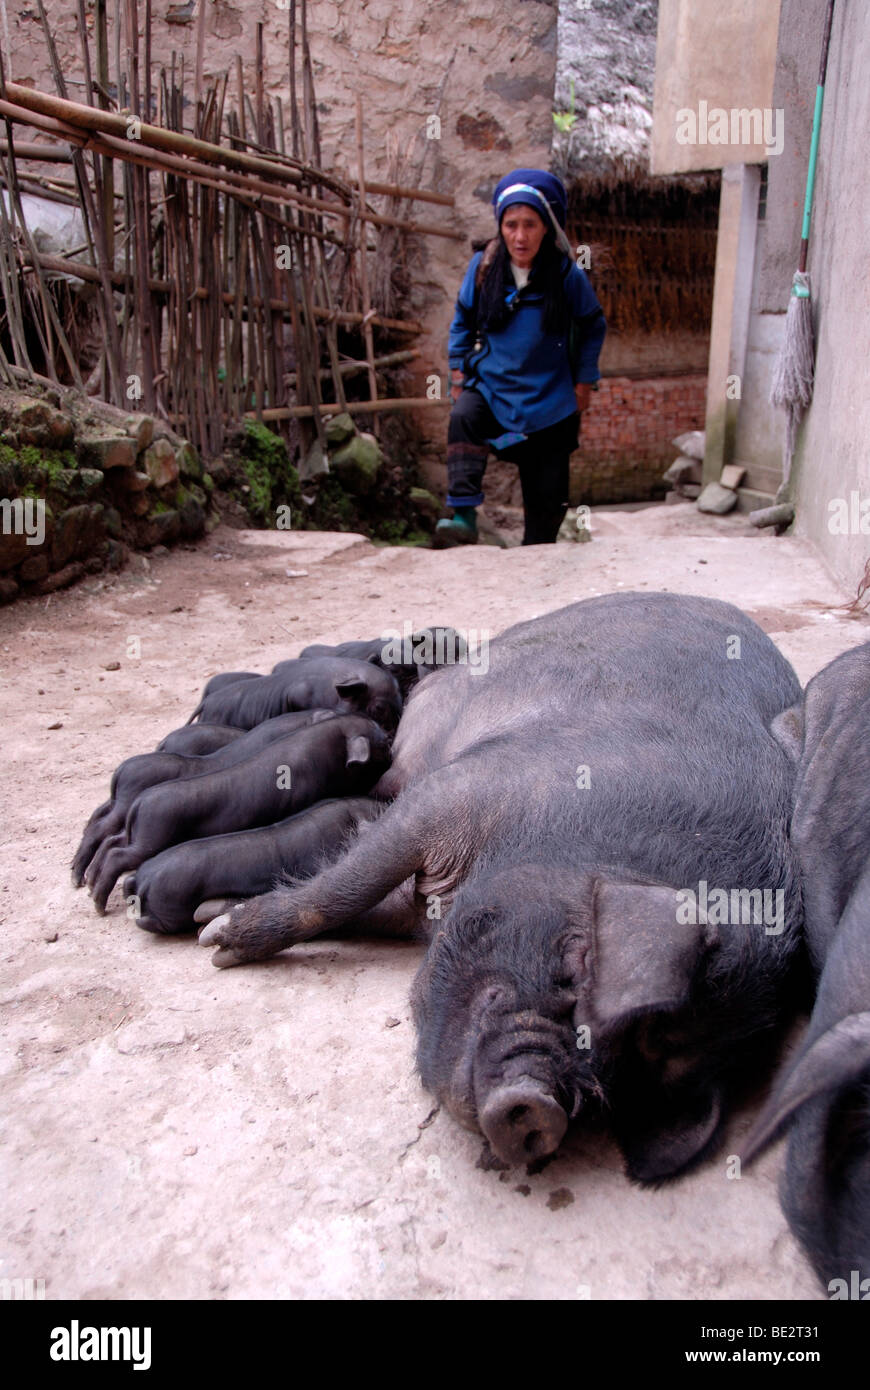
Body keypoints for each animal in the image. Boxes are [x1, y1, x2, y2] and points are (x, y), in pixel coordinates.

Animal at [200, 592, 800, 1178]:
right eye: (578, 962)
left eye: (626, 1077)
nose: (540, 1109)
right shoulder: (457, 792)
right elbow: (347, 888)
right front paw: (216, 939)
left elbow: (370, 903)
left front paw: (210, 920)